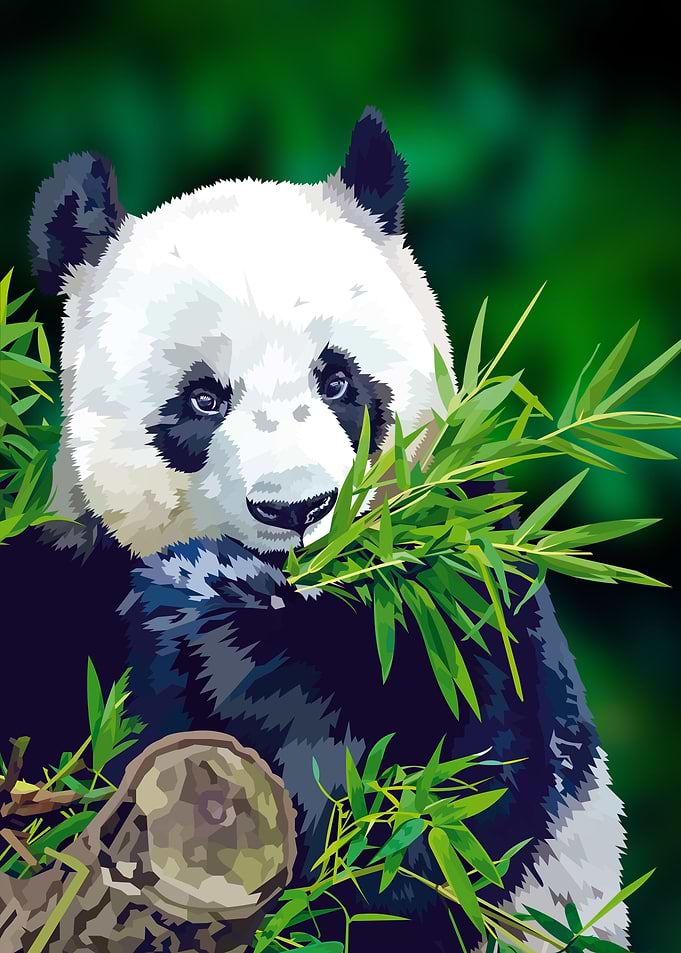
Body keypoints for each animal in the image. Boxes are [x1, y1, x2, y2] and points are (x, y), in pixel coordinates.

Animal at [1, 108, 628, 951]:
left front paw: (209, 616)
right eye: (204, 398)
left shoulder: (460, 589)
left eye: (337, 381)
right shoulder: (67, 588)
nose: (295, 510)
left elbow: (425, 816)